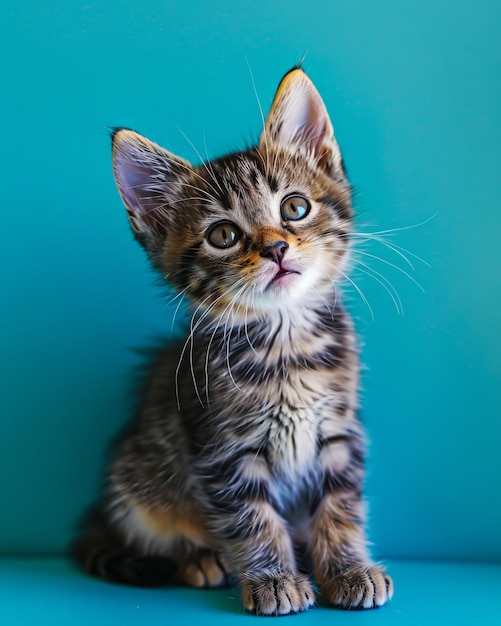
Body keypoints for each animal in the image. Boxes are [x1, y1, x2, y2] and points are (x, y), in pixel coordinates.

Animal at [75, 66, 394, 612]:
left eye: (295, 207)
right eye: (222, 235)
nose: (276, 248)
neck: (287, 345)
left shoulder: (339, 431)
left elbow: (340, 506)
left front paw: (348, 569)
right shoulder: (222, 449)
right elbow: (253, 519)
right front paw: (273, 579)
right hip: (137, 483)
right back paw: (202, 559)